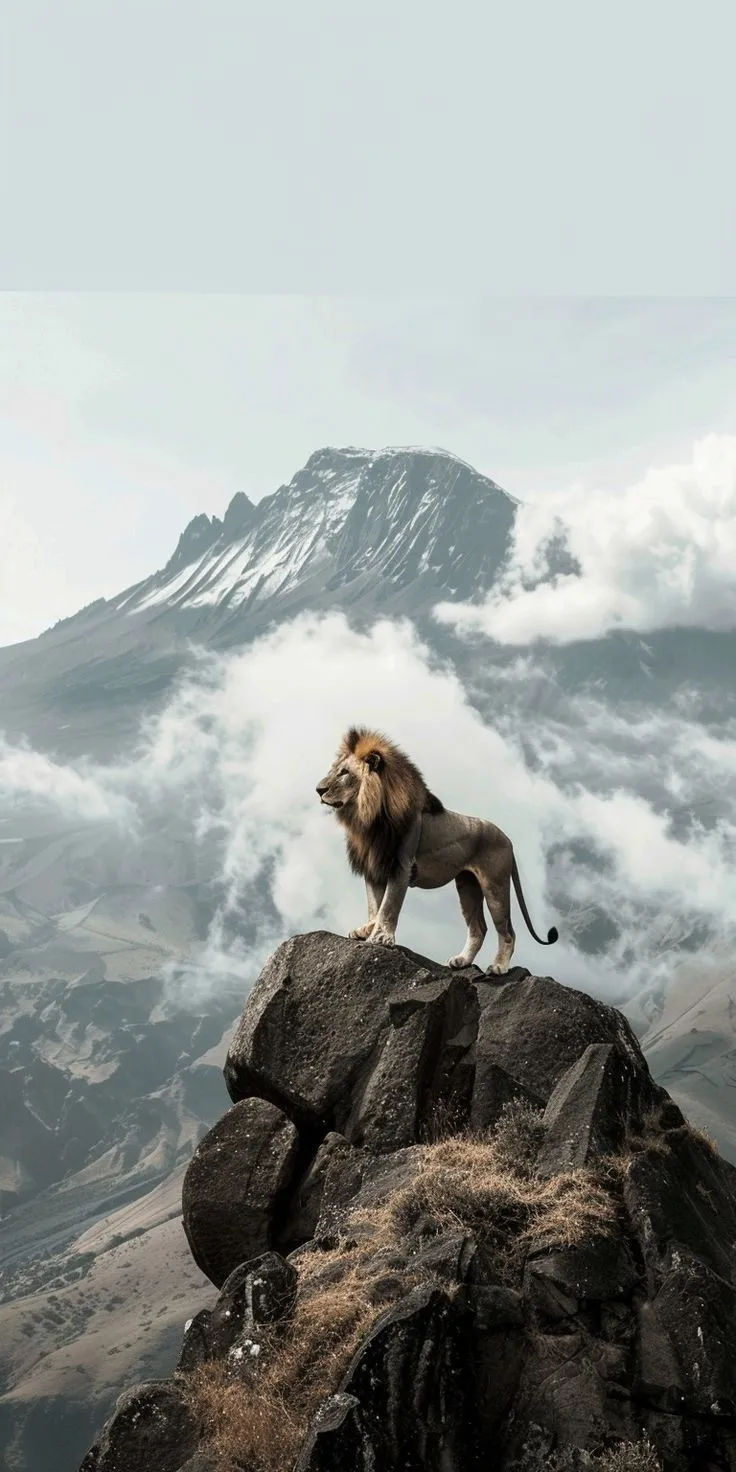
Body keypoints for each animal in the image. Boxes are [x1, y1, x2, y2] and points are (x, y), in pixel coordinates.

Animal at [316, 726, 558, 974]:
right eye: (334, 770)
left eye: (344, 772)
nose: (318, 790)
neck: (369, 815)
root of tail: (508, 839)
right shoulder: (375, 866)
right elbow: (375, 905)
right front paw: (366, 929)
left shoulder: (401, 866)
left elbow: (389, 905)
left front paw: (381, 937)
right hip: (467, 886)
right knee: (478, 928)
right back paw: (461, 961)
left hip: (495, 885)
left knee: (507, 931)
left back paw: (499, 967)